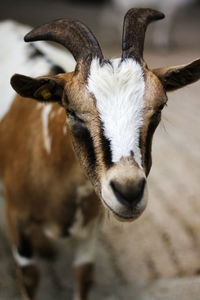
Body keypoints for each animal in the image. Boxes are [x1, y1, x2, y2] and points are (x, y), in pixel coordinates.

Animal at [0, 8, 200, 300]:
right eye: (71, 110)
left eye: (160, 107)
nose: (129, 191)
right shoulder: (17, 219)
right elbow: (29, 277)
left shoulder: (90, 227)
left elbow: (83, 275)